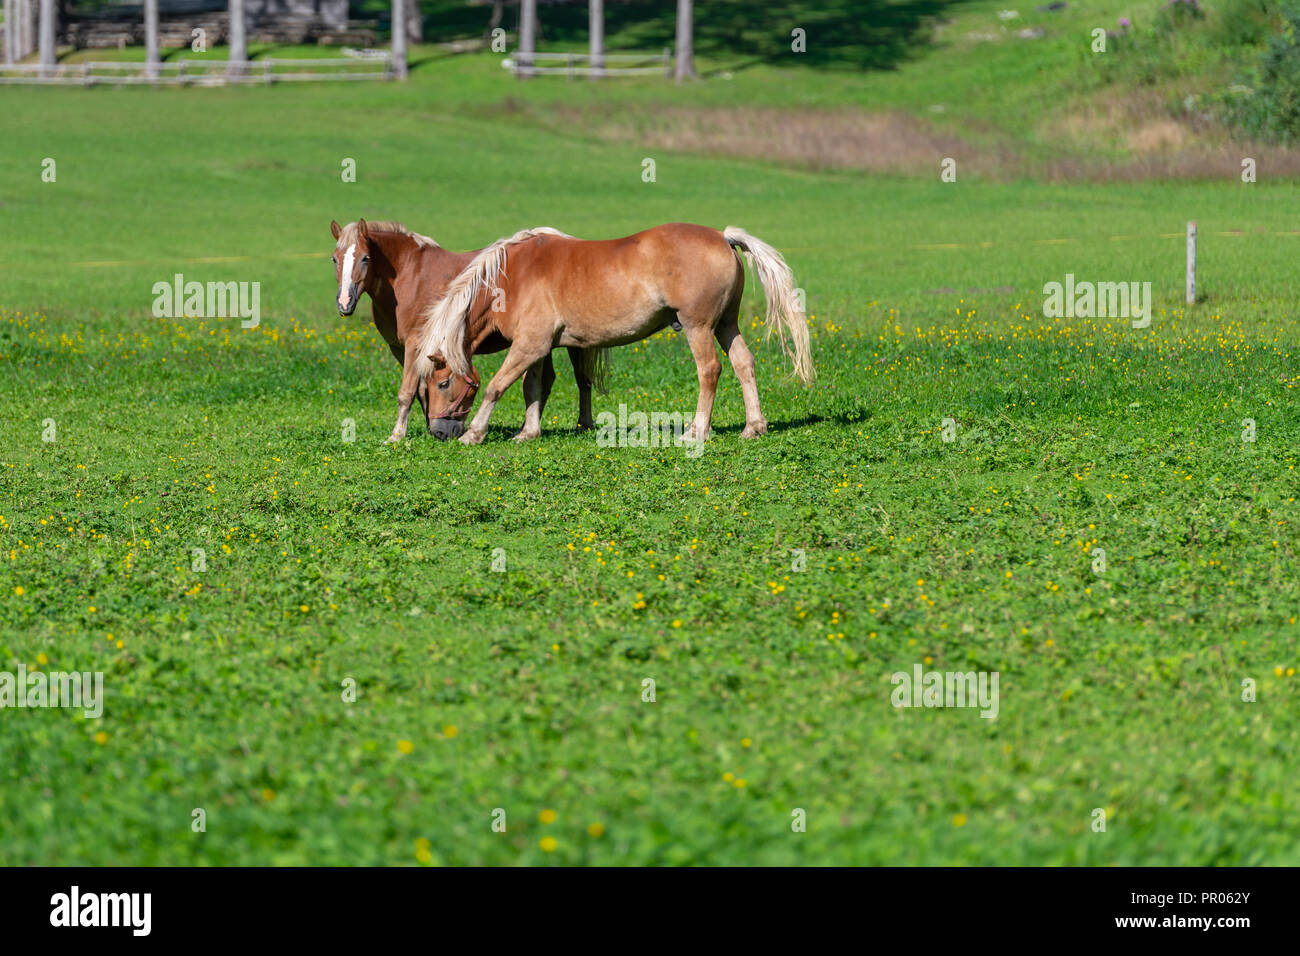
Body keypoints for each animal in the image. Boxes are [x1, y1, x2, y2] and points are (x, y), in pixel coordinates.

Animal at [332, 219, 600, 442]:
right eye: (334, 259)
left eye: (365, 258)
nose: (345, 302)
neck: (408, 277)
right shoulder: (401, 349)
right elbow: (421, 390)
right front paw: (430, 426)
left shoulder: (415, 345)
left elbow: (406, 392)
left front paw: (397, 436)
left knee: (582, 379)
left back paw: (581, 425)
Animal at [413, 222, 811, 447]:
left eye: (443, 383)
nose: (439, 432)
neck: (512, 277)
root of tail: (722, 237)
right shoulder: (538, 348)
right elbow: (533, 387)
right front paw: (528, 432)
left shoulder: (529, 346)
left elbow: (496, 386)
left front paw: (474, 434)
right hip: (726, 324)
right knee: (744, 364)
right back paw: (754, 427)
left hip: (698, 327)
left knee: (709, 371)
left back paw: (697, 431)